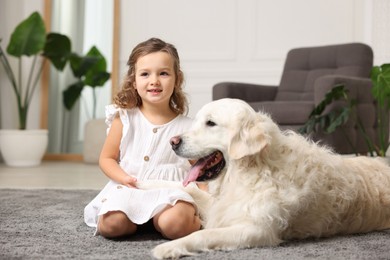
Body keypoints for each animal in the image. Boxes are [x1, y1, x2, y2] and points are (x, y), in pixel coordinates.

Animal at [136, 98, 390, 258]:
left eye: (211, 123)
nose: (173, 142)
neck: (249, 171)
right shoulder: (220, 204)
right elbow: (186, 187)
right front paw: (138, 182)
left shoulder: (257, 229)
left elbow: (204, 234)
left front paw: (169, 247)